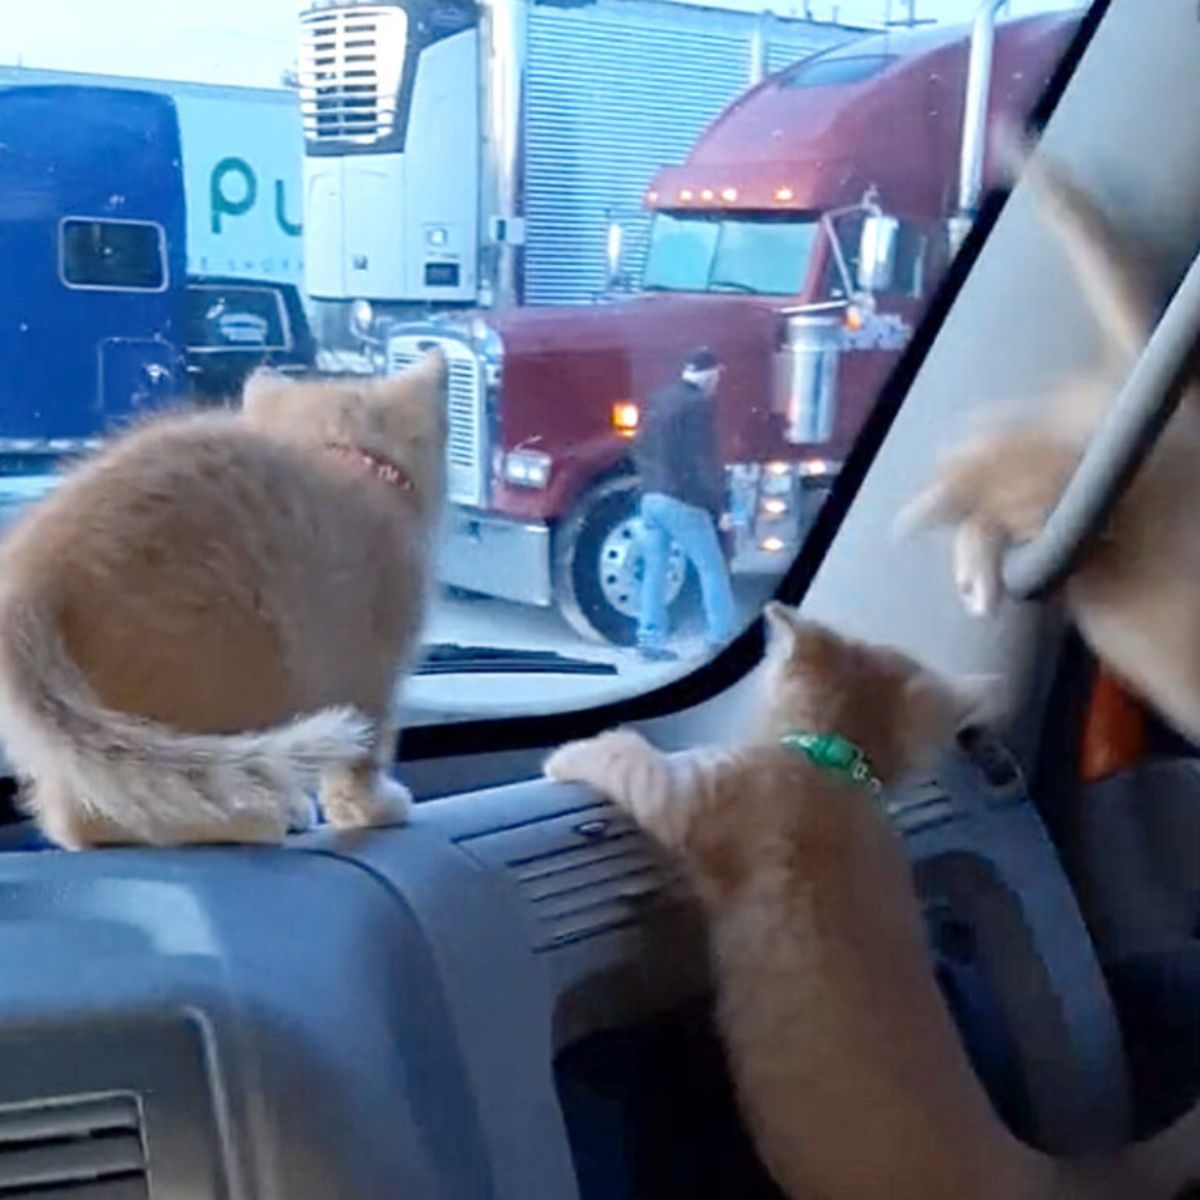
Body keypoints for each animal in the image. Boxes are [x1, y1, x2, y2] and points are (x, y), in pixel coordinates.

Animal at [0, 350, 446, 849]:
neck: (340, 454)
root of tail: (32, 563)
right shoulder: (371, 661)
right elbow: (365, 750)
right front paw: (371, 807)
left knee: (77, 803)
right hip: (232, 654)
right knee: (107, 811)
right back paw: (242, 820)